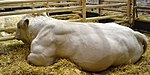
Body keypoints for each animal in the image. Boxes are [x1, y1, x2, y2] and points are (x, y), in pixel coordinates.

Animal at [14, 15, 148, 72]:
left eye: (18, 26)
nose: (15, 36)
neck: (40, 29)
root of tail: (134, 33)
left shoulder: (41, 55)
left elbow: (29, 58)